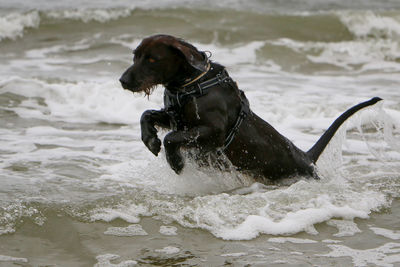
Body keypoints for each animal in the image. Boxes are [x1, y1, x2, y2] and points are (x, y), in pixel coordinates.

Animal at [120, 34, 382, 184]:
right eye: (135, 56)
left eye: (152, 59)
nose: (122, 80)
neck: (191, 84)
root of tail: (306, 157)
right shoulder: (175, 116)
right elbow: (147, 116)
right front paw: (150, 139)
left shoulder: (213, 131)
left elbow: (172, 138)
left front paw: (175, 162)